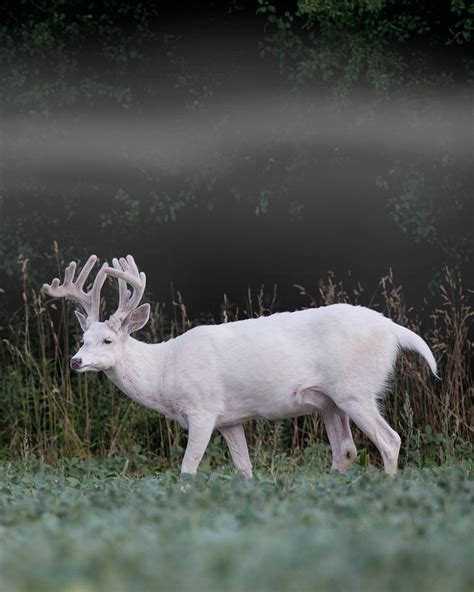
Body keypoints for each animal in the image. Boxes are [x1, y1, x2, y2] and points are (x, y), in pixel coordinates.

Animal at [43, 254, 436, 476]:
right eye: (83, 339)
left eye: (108, 341)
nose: (75, 361)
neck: (164, 372)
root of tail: (393, 330)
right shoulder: (230, 418)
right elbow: (244, 467)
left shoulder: (202, 408)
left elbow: (188, 468)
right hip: (331, 402)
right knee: (347, 450)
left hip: (356, 389)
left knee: (390, 441)